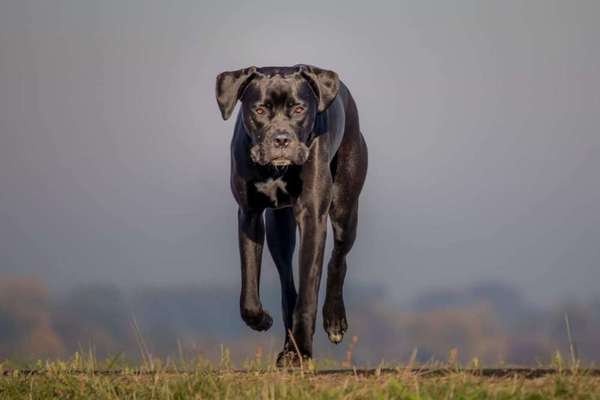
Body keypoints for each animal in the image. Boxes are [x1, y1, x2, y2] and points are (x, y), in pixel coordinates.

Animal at [213, 64, 368, 368]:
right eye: (260, 110)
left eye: (298, 109)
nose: (281, 140)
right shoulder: (249, 214)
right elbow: (249, 288)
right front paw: (261, 320)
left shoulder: (312, 216)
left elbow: (309, 290)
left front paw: (302, 352)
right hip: (279, 231)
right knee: (288, 287)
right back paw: (287, 342)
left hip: (344, 210)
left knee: (337, 260)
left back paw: (334, 320)